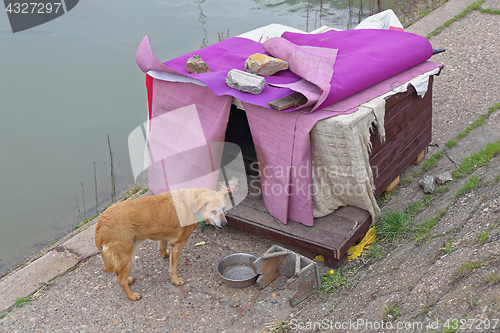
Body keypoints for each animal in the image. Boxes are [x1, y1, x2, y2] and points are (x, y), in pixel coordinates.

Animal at [94, 188, 229, 300]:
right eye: (213, 211)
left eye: (224, 209)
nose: (224, 224)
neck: (192, 204)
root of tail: (100, 226)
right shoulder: (177, 244)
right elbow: (173, 267)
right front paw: (175, 281)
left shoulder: (164, 236)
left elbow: (162, 247)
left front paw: (164, 254)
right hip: (127, 256)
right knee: (120, 280)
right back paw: (132, 296)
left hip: (127, 253)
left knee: (118, 272)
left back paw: (129, 280)